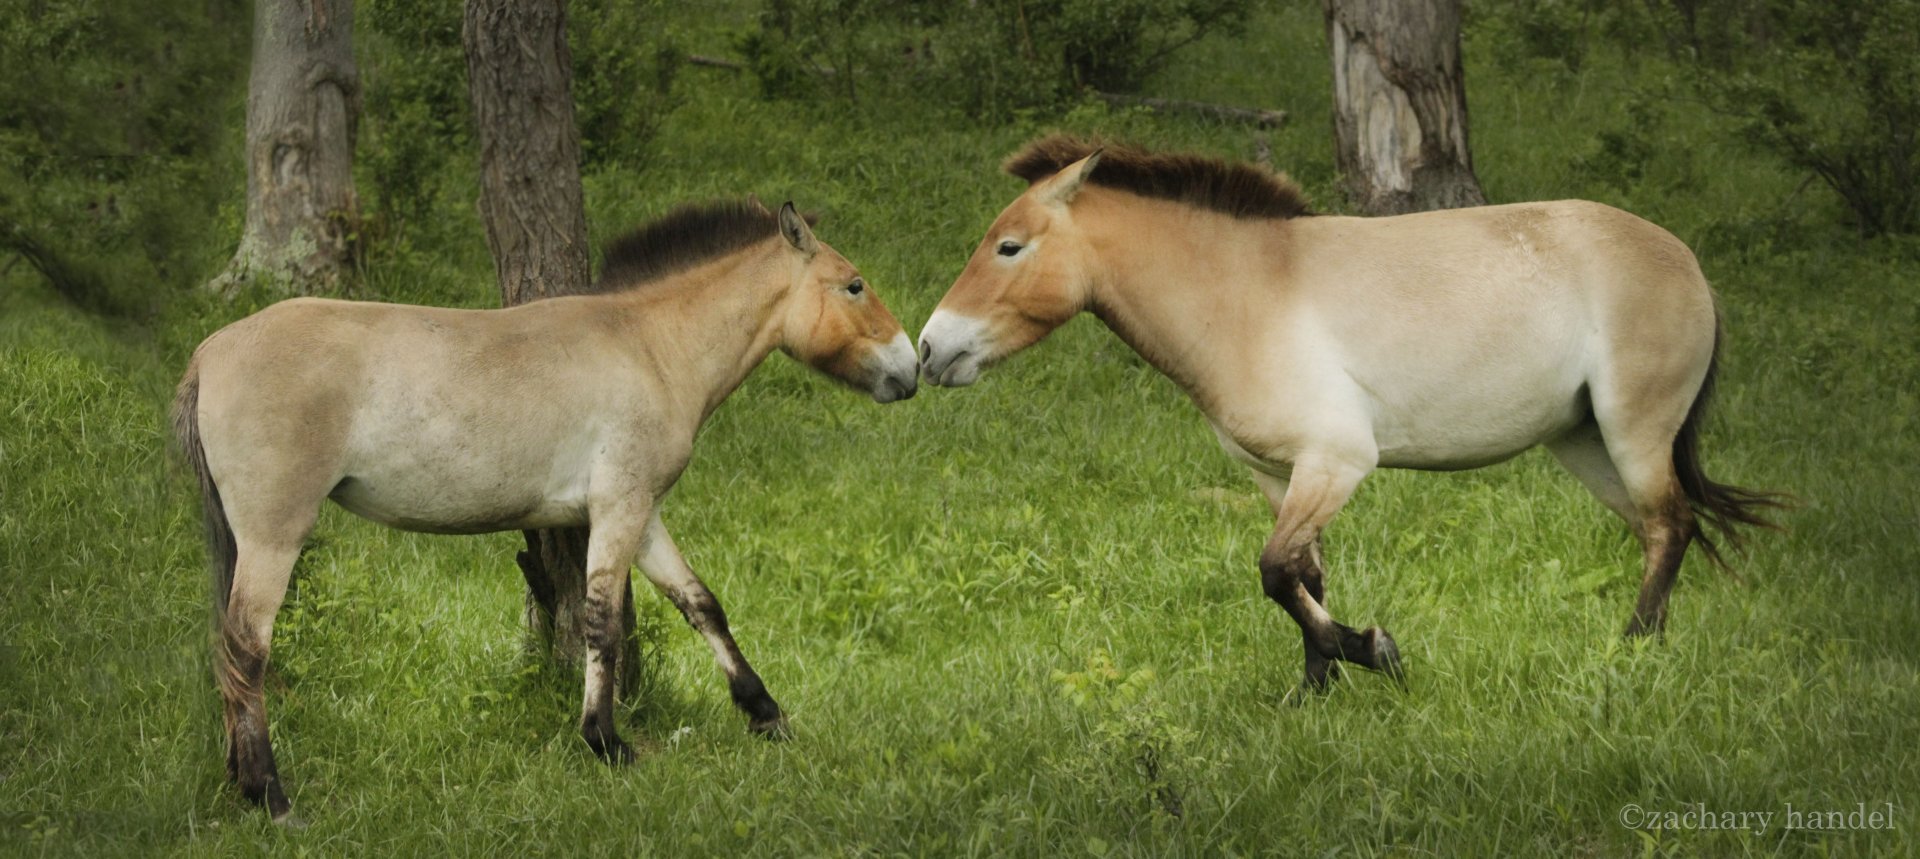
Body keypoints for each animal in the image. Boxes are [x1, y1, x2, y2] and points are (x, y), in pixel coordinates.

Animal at [174, 200, 919, 819]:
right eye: (854, 285)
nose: (911, 368)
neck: (650, 345)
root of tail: (210, 353)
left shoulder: (641, 514)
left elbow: (700, 604)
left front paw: (766, 714)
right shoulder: (618, 508)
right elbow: (602, 621)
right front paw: (606, 741)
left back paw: (241, 779)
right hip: (274, 538)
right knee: (245, 651)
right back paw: (270, 794)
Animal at [918, 135, 1786, 692]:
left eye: (1009, 247)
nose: (929, 348)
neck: (1248, 294)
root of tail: (1688, 264)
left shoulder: (1336, 463)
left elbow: (1275, 572)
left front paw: (1376, 651)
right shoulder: (1279, 475)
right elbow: (1304, 575)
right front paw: (1316, 689)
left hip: (1634, 432)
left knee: (1670, 524)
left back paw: (1632, 654)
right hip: (1584, 442)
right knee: (1659, 531)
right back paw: (1646, 646)